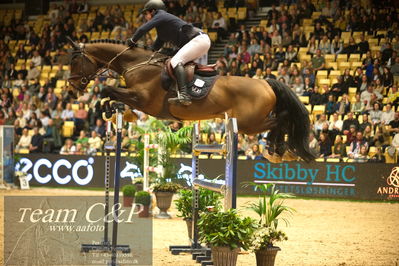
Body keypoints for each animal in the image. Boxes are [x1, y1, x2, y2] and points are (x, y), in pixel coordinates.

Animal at [67, 39, 316, 162]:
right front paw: (117, 112)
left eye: (74, 62)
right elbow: (110, 94)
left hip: (249, 123)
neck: (136, 64)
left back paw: (277, 149)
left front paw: (112, 110)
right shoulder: (136, 97)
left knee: (282, 119)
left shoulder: (142, 99)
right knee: (282, 118)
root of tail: (265, 82)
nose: (71, 89)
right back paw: (278, 150)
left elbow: (107, 90)